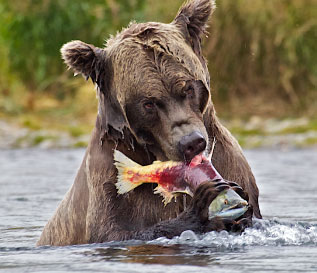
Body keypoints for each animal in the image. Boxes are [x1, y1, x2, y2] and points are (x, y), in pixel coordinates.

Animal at [37, 0, 260, 246]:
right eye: (149, 103)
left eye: (188, 88)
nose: (191, 142)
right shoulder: (107, 181)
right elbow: (115, 231)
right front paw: (200, 209)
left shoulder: (228, 161)